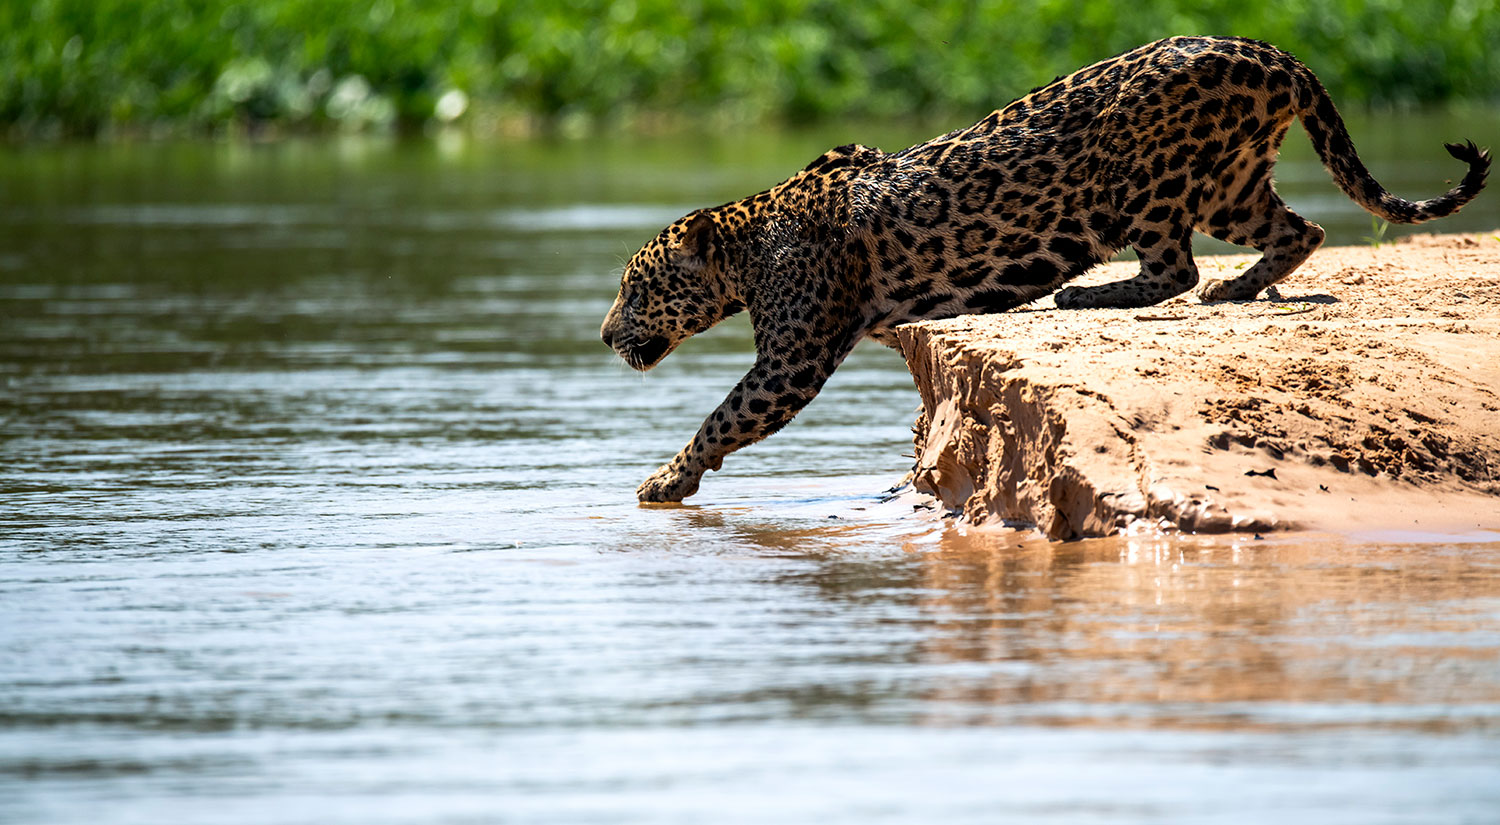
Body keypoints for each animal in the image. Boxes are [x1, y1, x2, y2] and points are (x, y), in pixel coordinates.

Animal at [600, 35, 1490, 503]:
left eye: (636, 288)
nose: (606, 336)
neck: (748, 245)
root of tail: (1269, 51)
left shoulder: (793, 356)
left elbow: (724, 415)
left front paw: (664, 481)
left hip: (1147, 178)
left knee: (1171, 266)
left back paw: (1087, 293)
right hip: (1229, 183)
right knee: (1298, 228)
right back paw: (1235, 287)